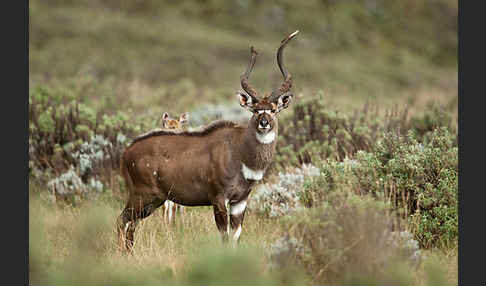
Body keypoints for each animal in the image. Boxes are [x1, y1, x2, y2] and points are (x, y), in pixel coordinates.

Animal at [117, 30, 300, 251]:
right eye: (255, 110)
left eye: (273, 110)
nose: (264, 123)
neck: (240, 152)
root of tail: (126, 153)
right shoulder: (219, 199)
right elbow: (225, 237)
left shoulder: (240, 201)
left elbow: (235, 236)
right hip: (142, 196)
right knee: (121, 221)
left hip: (153, 200)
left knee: (131, 226)